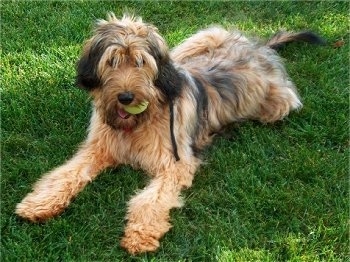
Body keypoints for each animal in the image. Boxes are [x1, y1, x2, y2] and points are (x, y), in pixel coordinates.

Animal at [15, 12, 324, 254]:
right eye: (112, 61)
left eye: (141, 62)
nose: (126, 97)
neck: (139, 122)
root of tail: (258, 48)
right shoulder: (98, 148)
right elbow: (65, 174)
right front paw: (38, 204)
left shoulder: (175, 163)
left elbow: (150, 199)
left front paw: (140, 235)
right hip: (196, 41)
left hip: (275, 102)